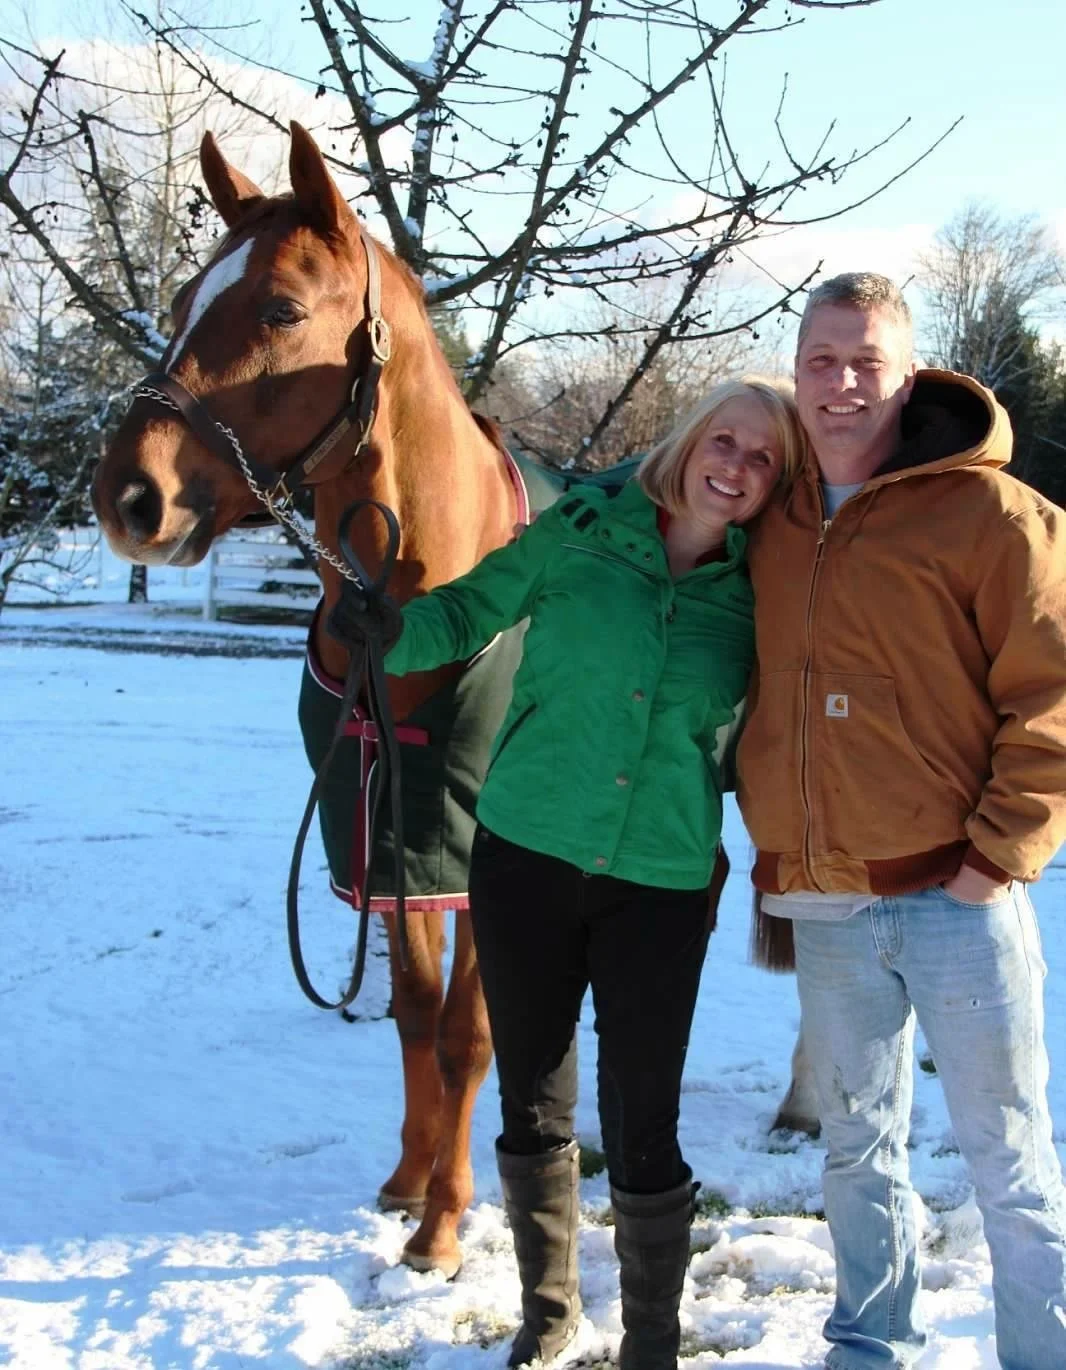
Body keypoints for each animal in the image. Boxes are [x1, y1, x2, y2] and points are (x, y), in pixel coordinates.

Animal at [90, 122, 816, 1279]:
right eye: (180, 300)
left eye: (281, 311)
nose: (130, 498)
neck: (427, 594)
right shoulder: (388, 837)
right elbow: (411, 1014)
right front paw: (403, 1178)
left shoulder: (481, 855)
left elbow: (474, 1036)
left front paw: (442, 1223)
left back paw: (804, 1110)